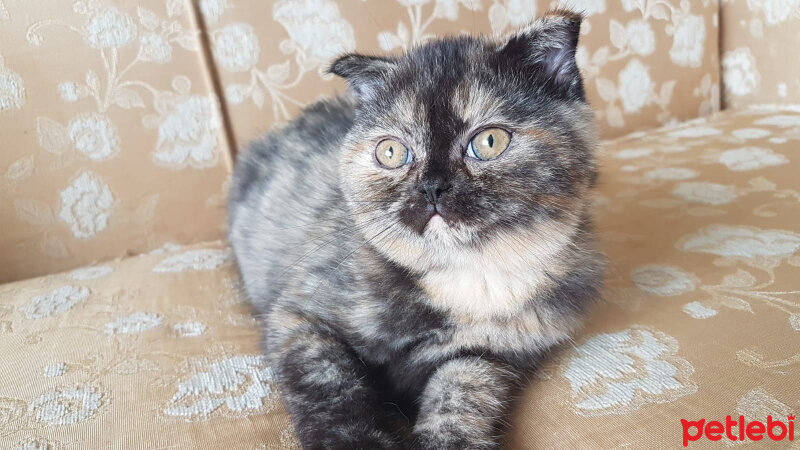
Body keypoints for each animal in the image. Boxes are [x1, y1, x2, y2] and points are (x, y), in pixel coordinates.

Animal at [228, 8, 604, 448]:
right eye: (392, 152)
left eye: (490, 142)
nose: (432, 187)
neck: (470, 275)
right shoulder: (299, 319)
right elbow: (331, 388)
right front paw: (358, 441)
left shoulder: (493, 355)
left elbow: (462, 393)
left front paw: (451, 437)